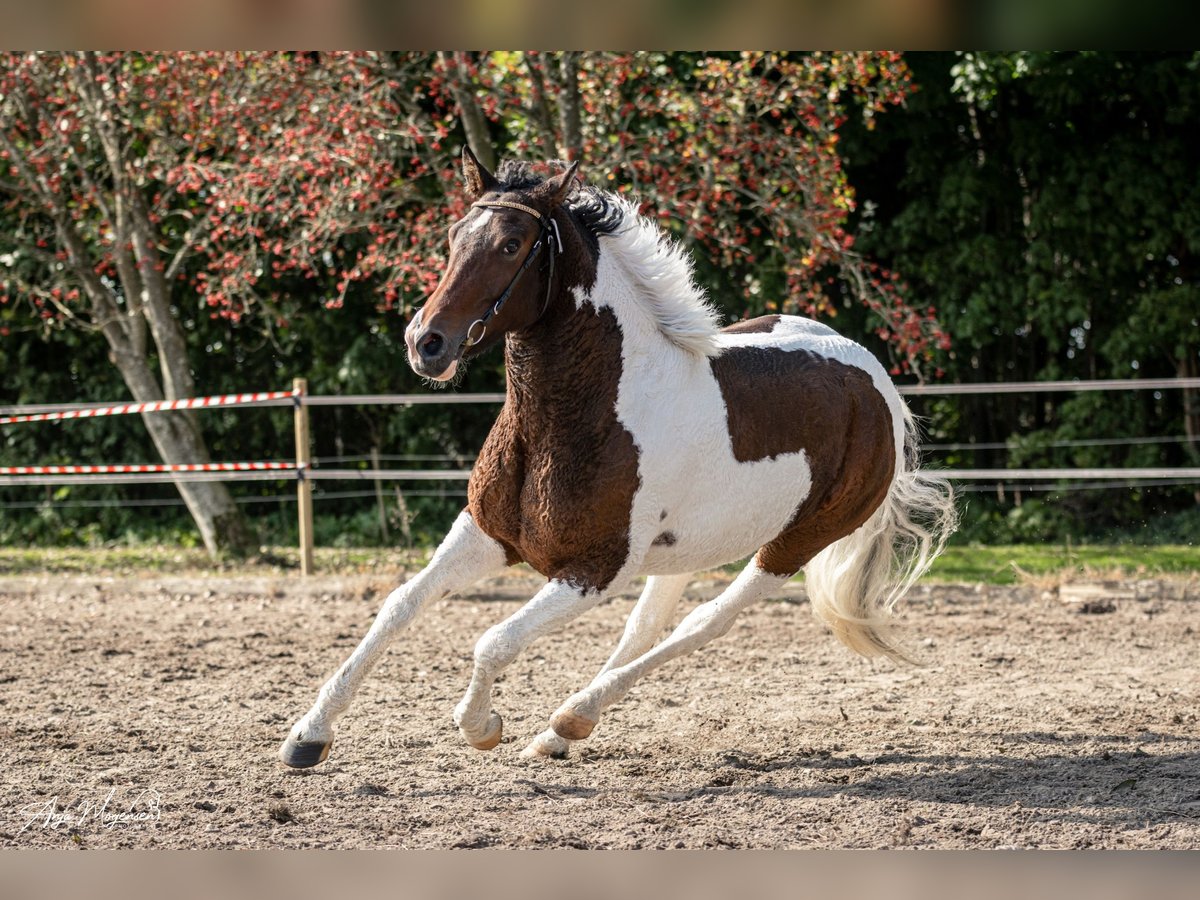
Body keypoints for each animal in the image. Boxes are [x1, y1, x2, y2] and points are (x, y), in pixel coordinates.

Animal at [278, 148, 955, 768]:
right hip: (692, 545)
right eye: (453, 236)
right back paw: (557, 732)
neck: (575, 417)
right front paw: (307, 736)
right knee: (647, 627)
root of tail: (877, 382)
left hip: (795, 542)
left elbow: (492, 641)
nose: (427, 344)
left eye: (512, 244)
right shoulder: (486, 532)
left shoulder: (594, 570)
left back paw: (571, 717)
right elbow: (399, 606)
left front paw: (481, 727)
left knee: (703, 623)